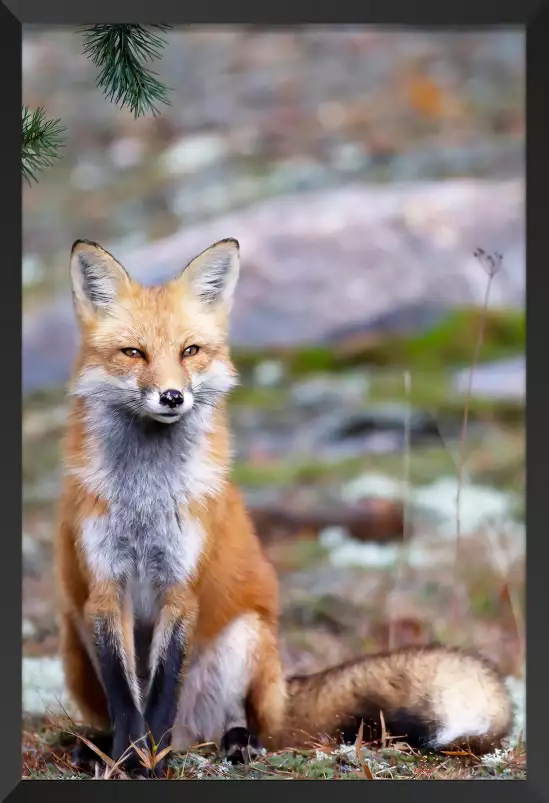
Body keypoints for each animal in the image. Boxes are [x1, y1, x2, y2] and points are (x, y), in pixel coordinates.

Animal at [53, 239, 512, 780]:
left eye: (190, 351)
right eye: (133, 352)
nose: (172, 396)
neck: (146, 498)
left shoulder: (181, 588)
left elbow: (160, 694)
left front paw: (152, 762)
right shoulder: (105, 590)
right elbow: (128, 699)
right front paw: (128, 759)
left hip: (247, 640)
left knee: (243, 728)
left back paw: (235, 744)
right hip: (75, 637)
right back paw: (95, 746)